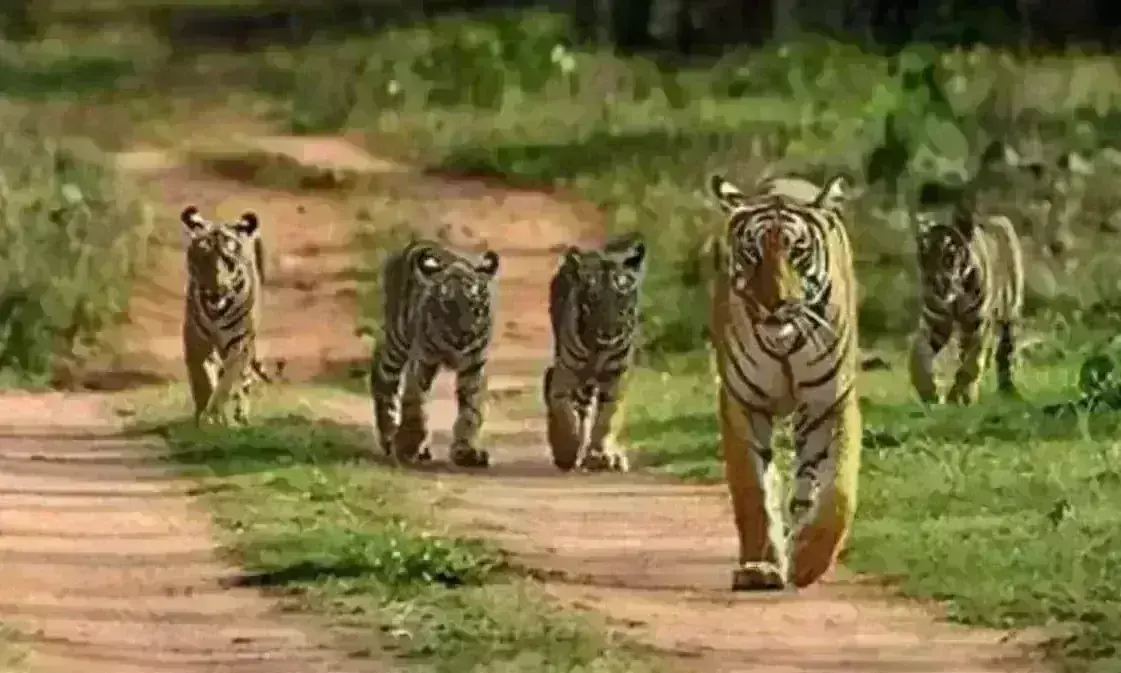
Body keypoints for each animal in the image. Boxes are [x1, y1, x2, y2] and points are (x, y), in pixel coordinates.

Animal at [181, 205, 277, 426]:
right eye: (203, 258)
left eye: (228, 261)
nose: (216, 290)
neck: (216, 311)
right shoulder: (196, 341)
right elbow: (202, 378)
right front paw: (203, 414)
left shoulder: (239, 343)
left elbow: (227, 381)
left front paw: (215, 412)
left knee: (243, 378)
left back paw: (240, 413)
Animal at [370, 239, 499, 468]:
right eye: (448, 306)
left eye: (475, 306)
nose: (463, 336)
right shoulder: (423, 360)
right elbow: (415, 402)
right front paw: (408, 445)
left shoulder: (474, 366)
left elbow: (471, 409)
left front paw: (466, 451)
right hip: (397, 341)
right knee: (383, 376)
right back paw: (389, 435)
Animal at [543, 233, 647, 473]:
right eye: (593, 297)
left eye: (621, 296)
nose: (609, 332)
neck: (599, 349)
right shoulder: (565, 375)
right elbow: (564, 412)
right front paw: (567, 452)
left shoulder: (617, 376)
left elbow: (607, 418)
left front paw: (600, 455)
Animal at [706, 172, 862, 591]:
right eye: (752, 253)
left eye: (797, 253)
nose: (773, 303)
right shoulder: (742, 403)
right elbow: (753, 491)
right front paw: (759, 567)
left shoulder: (831, 402)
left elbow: (839, 490)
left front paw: (809, 561)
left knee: (806, 486)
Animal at [908, 180, 1025, 405]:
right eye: (924, 257)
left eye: (949, 256)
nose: (932, 284)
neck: (954, 300)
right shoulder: (934, 323)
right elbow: (918, 355)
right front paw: (929, 393)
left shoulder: (977, 323)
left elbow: (971, 362)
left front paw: (958, 397)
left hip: (1010, 313)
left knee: (1004, 353)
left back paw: (1008, 390)